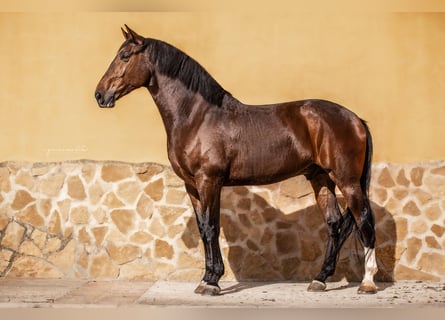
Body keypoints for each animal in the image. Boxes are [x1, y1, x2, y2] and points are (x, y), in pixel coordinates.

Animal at [95, 25, 376, 296]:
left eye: (125, 56)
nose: (100, 95)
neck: (197, 116)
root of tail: (356, 119)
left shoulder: (209, 181)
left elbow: (211, 227)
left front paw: (212, 282)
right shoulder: (192, 185)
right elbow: (202, 229)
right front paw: (207, 278)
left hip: (347, 180)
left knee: (364, 219)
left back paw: (367, 283)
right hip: (320, 177)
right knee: (334, 223)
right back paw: (319, 279)